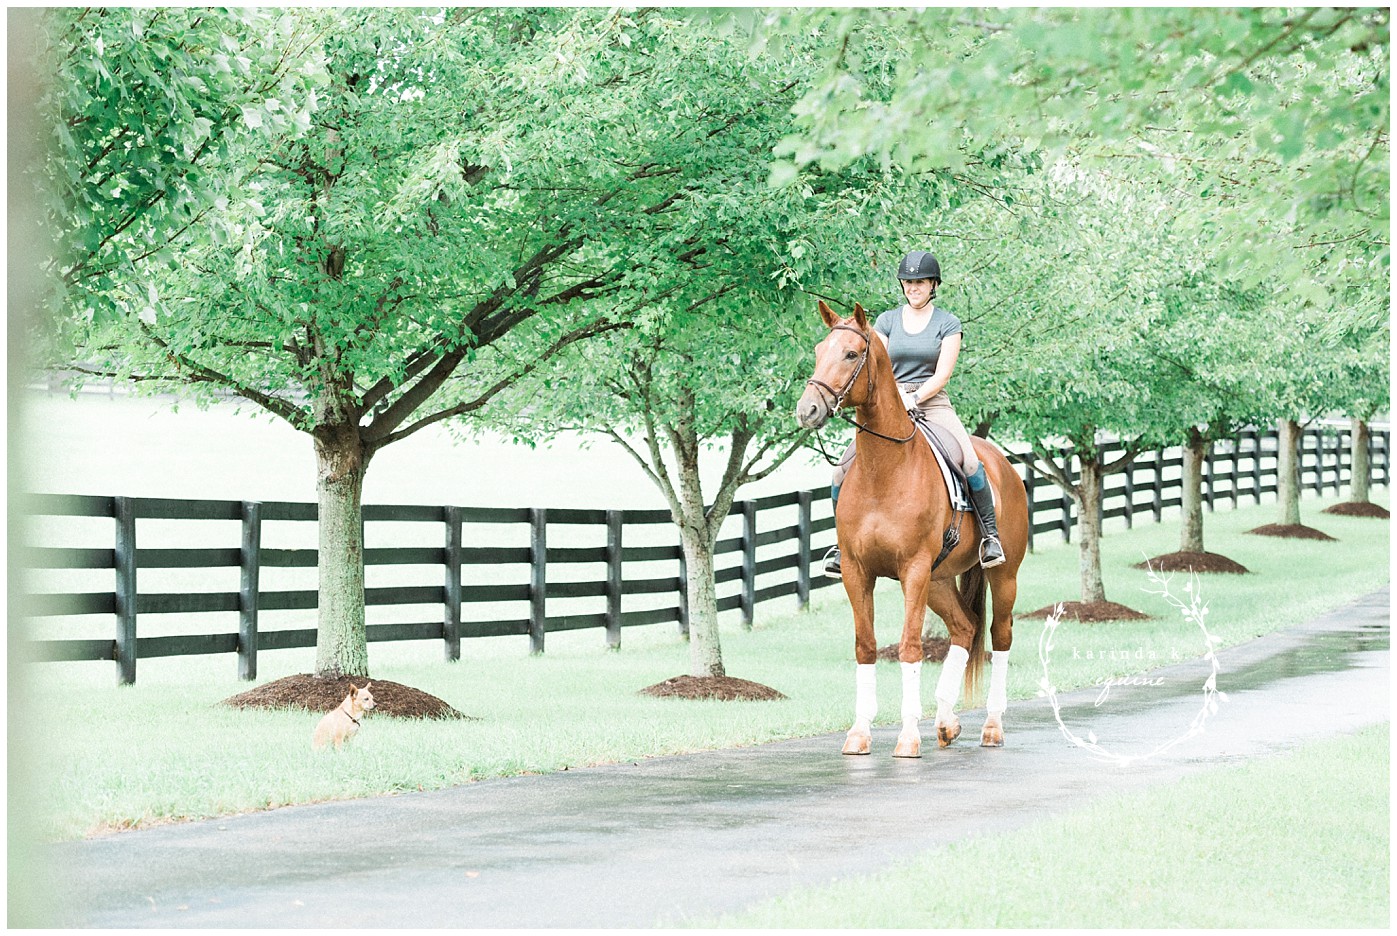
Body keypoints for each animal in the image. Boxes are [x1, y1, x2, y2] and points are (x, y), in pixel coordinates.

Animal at [795, 300, 1029, 757]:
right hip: (938, 582)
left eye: (851, 354)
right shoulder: (856, 571)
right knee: (964, 628)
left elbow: (909, 646)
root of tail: (1000, 463)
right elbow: (865, 646)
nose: (808, 409)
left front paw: (907, 736)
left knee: (1000, 635)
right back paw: (945, 722)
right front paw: (859, 733)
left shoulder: (913, 570)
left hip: (1000, 576)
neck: (884, 470)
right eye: (817, 351)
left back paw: (992, 725)